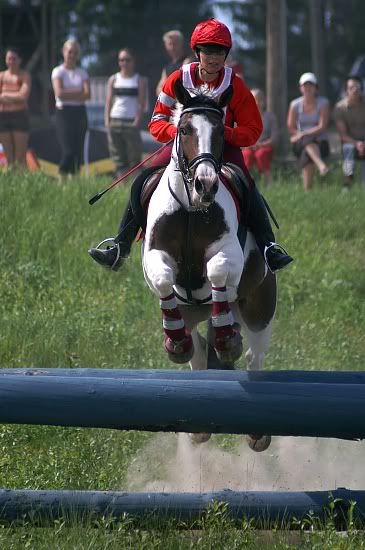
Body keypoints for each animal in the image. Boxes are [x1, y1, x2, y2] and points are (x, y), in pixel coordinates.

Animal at [141, 82, 274, 450]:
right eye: (185, 129)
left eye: (220, 133)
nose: (206, 184)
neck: (190, 207)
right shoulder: (154, 255)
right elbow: (162, 279)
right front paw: (176, 345)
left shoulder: (229, 253)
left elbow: (217, 272)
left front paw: (228, 341)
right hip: (190, 312)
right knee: (199, 353)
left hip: (258, 308)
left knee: (253, 357)